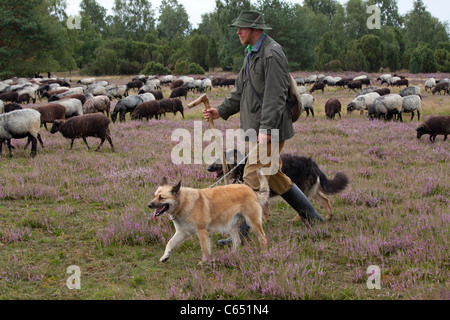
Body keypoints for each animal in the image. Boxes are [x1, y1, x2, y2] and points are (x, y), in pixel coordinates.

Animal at [207, 149, 348, 220]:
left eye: (219, 160)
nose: (208, 168)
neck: (241, 165)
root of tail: (312, 163)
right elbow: (265, 211)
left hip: (302, 188)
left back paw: (296, 220)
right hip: (311, 189)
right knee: (325, 200)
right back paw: (328, 216)